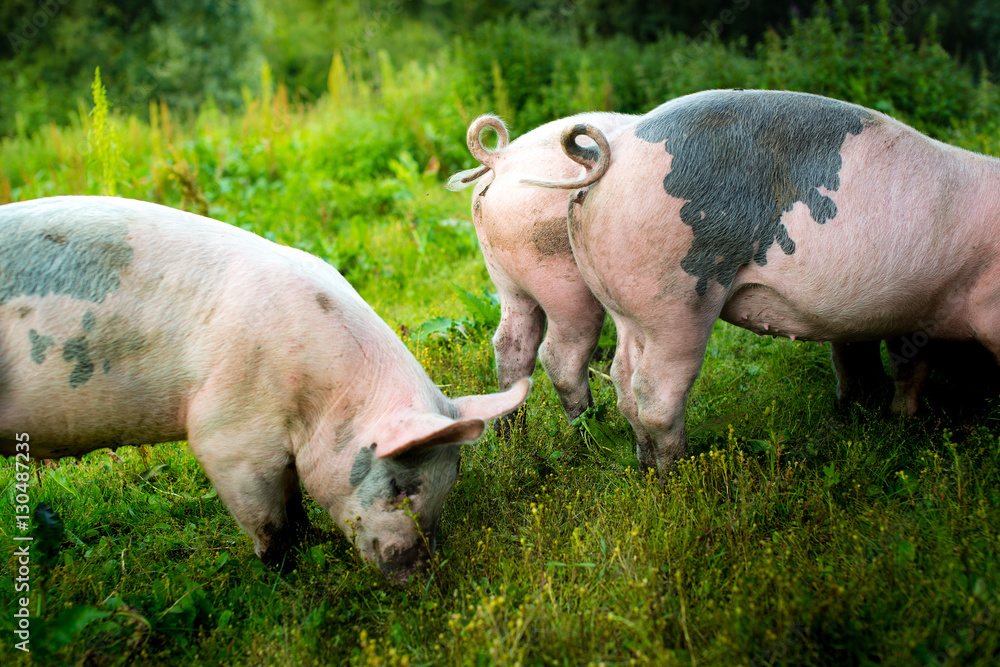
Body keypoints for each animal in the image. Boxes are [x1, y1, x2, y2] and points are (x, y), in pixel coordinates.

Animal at [0, 196, 531, 582]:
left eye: (451, 481)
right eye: (401, 487)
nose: (420, 577)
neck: (323, 393)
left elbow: (294, 498)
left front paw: (312, 542)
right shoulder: (228, 435)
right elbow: (268, 519)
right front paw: (286, 573)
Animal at [447, 112, 636, 430]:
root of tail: (501, 159)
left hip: (506, 276)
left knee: (510, 343)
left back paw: (509, 434)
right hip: (564, 284)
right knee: (560, 355)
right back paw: (592, 429)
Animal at [524, 89, 1000, 472]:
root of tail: (607, 155)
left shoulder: (912, 318)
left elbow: (897, 365)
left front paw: (889, 417)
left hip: (625, 303)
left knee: (622, 378)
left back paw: (644, 466)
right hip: (678, 298)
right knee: (654, 392)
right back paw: (679, 474)